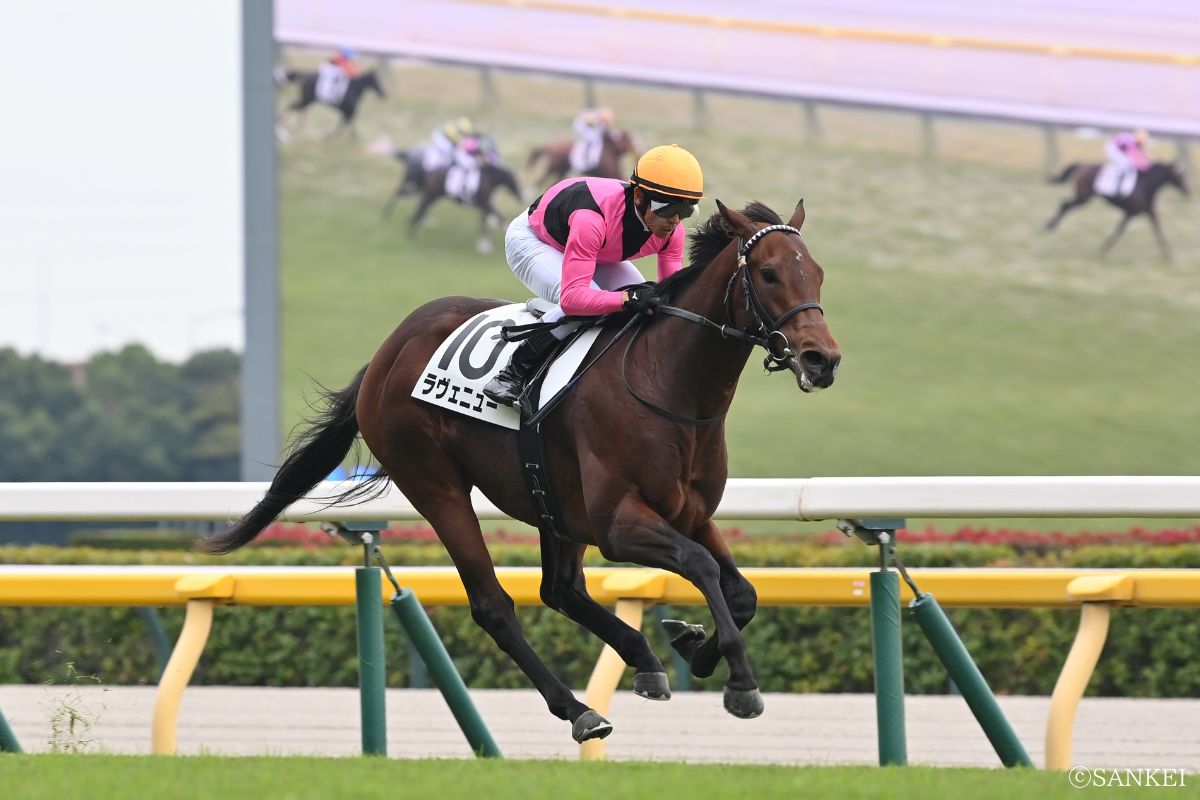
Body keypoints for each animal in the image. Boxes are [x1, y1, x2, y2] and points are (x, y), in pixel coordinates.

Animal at [197, 198, 841, 743]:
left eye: (817, 273)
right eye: (769, 274)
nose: (822, 359)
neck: (668, 382)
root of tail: (387, 352)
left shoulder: (691, 512)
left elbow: (741, 591)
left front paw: (693, 645)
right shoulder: (620, 524)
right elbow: (704, 568)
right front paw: (739, 681)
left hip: (551, 502)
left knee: (561, 589)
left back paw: (644, 661)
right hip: (436, 484)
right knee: (495, 606)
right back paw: (579, 709)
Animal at [1045, 161, 1189, 262]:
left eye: (1184, 176)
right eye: (1180, 176)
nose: (1188, 192)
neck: (1146, 184)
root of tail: (1082, 164)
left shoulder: (1143, 212)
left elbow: (1158, 231)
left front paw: (1169, 255)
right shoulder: (1131, 213)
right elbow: (1119, 232)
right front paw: (1103, 249)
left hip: (1082, 197)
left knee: (1065, 204)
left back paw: (1051, 225)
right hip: (1083, 197)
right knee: (1065, 205)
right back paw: (1050, 225)